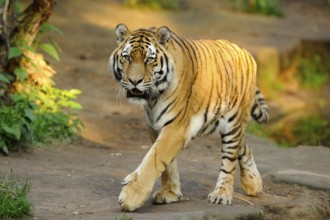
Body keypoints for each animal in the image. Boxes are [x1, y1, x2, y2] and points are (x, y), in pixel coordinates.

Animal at [107, 23, 268, 211]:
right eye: (127, 58)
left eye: (149, 59)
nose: (134, 81)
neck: (153, 98)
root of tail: (245, 52)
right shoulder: (155, 125)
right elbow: (167, 164)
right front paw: (170, 193)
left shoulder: (176, 126)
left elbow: (154, 159)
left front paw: (131, 197)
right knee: (243, 145)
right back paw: (253, 183)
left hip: (233, 122)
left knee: (230, 159)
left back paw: (222, 194)